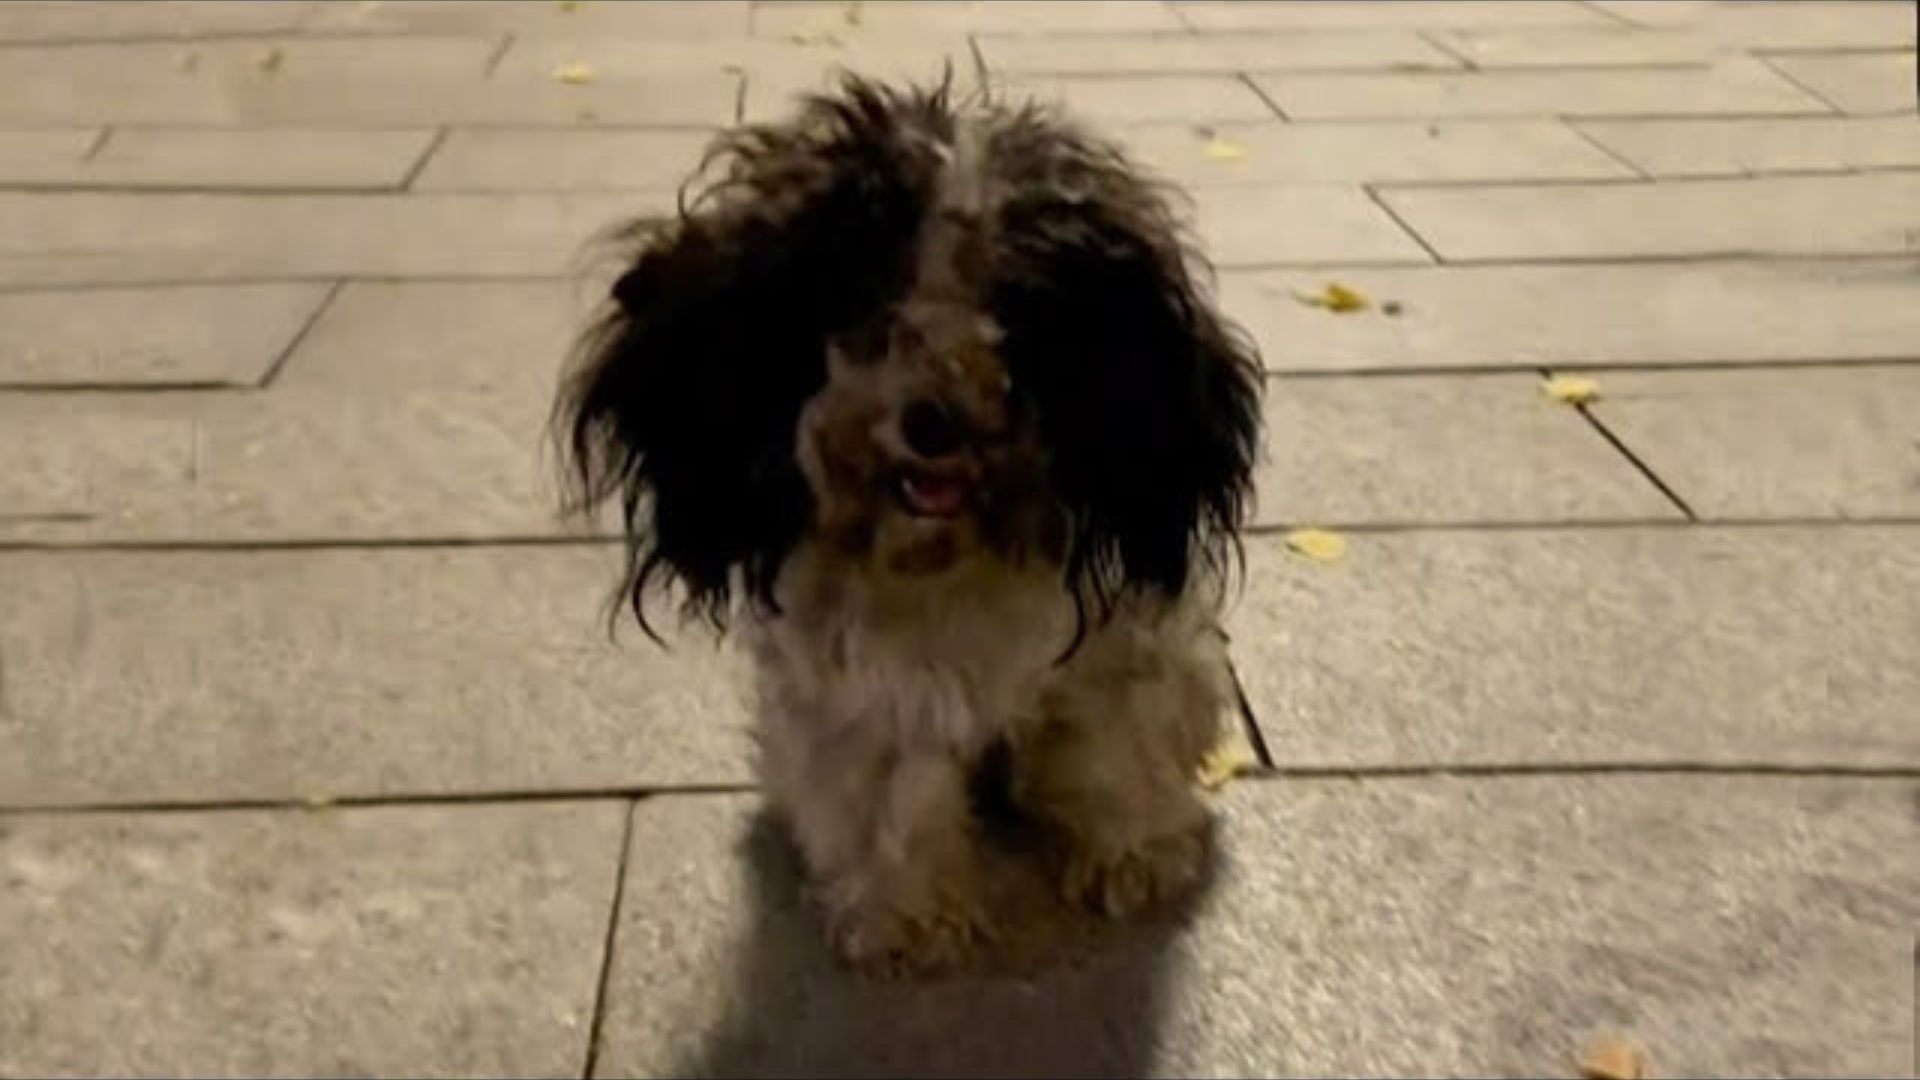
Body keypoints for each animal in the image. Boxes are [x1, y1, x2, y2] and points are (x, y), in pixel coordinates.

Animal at [556, 71, 1267, 972]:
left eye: (1012, 307)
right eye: (866, 302)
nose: (936, 420)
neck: (950, 562)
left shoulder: (1123, 644)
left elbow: (1115, 745)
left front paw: (1132, 855)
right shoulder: (863, 692)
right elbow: (887, 799)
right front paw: (906, 915)